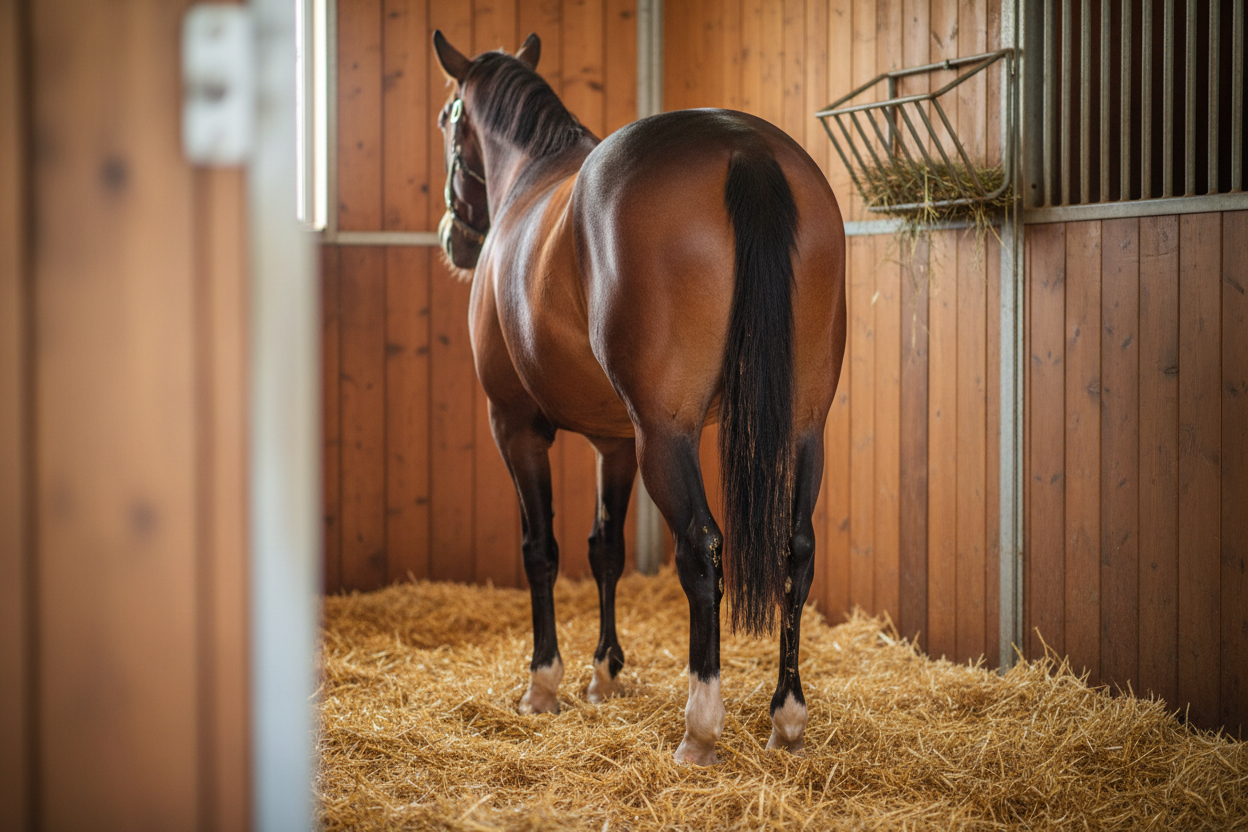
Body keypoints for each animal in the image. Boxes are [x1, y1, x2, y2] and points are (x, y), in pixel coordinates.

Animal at [433, 30, 846, 765]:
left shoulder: (516, 426)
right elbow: (606, 548)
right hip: (804, 430)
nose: (456, 238)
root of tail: (743, 146)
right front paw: (605, 674)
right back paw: (788, 717)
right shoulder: (615, 441)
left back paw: (700, 728)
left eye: (447, 122)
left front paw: (544, 685)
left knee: (702, 549)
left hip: (667, 435)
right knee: (796, 550)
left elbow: (541, 549)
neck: (532, 176)